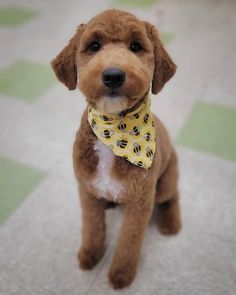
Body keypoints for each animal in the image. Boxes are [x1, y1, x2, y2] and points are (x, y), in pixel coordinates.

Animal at [50, 9, 182, 292]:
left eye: (135, 46)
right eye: (94, 46)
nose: (113, 75)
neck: (114, 135)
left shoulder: (140, 203)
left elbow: (128, 243)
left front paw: (121, 274)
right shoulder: (88, 192)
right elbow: (93, 228)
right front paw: (91, 254)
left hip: (165, 184)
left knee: (172, 195)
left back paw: (170, 223)